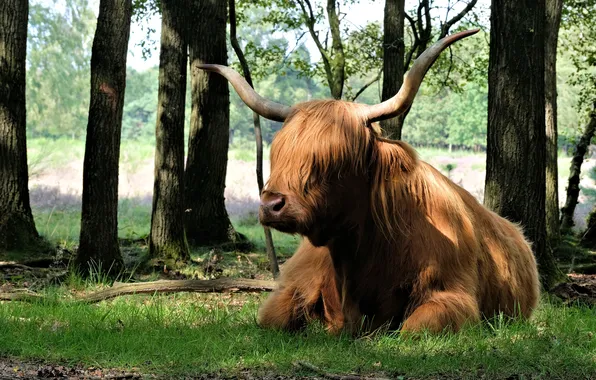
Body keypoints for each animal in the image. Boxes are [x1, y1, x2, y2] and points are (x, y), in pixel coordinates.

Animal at [200, 29, 540, 332]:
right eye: (279, 153)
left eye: (335, 161)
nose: (272, 205)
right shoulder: (291, 287)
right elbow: (274, 318)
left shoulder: (454, 295)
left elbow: (416, 328)